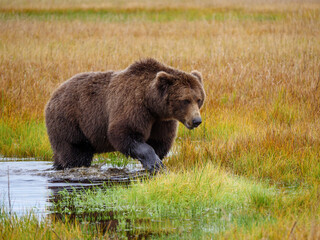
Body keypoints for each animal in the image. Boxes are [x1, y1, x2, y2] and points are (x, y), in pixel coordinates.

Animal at [44, 59, 205, 173]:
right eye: (185, 100)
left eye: (199, 99)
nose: (196, 120)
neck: (151, 103)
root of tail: (53, 96)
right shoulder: (133, 107)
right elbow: (125, 134)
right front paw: (156, 165)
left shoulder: (161, 121)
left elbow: (159, 142)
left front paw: (155, 162)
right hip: (70, 121)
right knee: (75, 153)